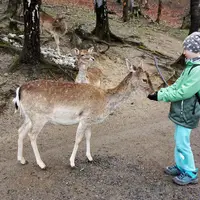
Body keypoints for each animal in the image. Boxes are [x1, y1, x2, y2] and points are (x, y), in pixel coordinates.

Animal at [13, 58, 153, 170]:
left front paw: (89, 157)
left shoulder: (90, 120)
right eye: (144, 79)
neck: (105, 100)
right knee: (32, 135)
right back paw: (41, 164)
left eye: (149, 77)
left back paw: (22, 159)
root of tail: (19, 89)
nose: (152, 92)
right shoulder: (85, 117)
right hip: (39, 116)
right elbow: (78, 139)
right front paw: (72, 163)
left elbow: (89, 136)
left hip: (29, 116)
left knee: (21, 131)